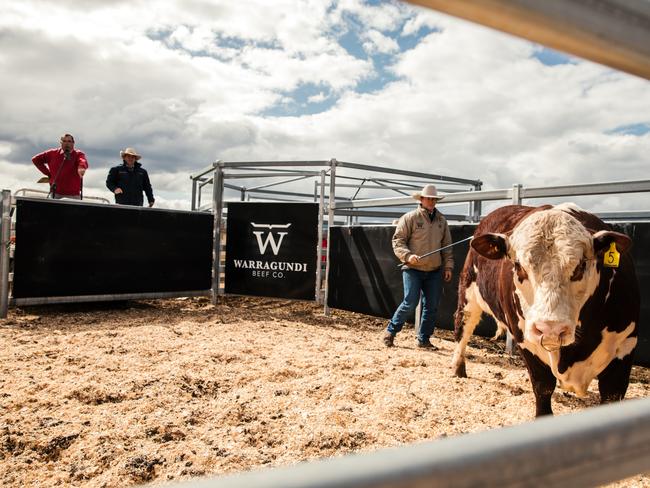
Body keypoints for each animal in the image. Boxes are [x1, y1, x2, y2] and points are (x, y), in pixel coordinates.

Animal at [450, 202, 636, 416]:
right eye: (518, 265)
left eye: (581, 265)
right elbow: (543, 387)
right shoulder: (526, 344)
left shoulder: (625, 348)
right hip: (468, 294)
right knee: (463, 328)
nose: (551, 328)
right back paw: (458, 368)